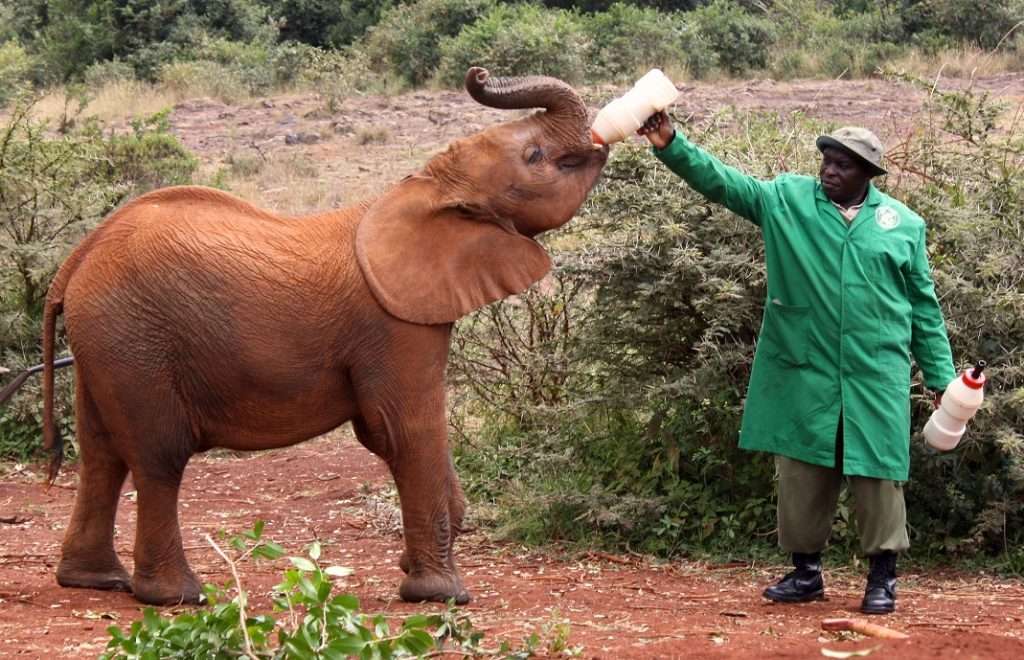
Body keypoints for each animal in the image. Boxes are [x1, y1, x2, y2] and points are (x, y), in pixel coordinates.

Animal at [27, 68, 608, 606]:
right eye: (534, 155)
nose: (479, 73)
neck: (427, 185)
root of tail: (76, 260)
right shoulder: (394, 323)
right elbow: (405, 430)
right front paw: (441, 595)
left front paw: (421, 560)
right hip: (135, 339)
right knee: (158, 457)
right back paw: (176, 596)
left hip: (106, 341)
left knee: (101, 454)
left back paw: (95, 580)